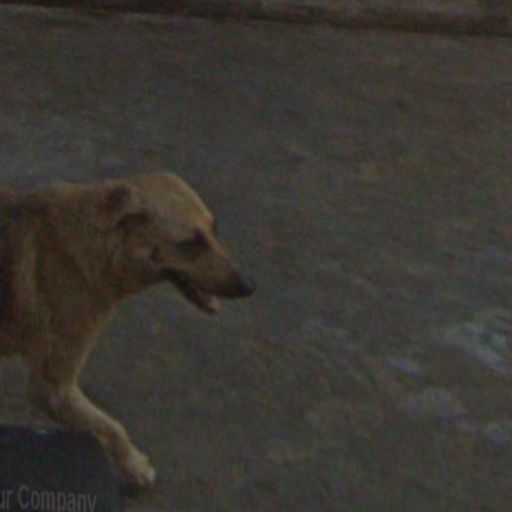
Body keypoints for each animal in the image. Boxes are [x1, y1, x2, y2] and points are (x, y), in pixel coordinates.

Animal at [0, 172, 255, 487]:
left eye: (214, 230)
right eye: (190, 243)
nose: (249, 287)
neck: (100, 244)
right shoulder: (53, 388)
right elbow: (112, 428)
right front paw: (133, 465)